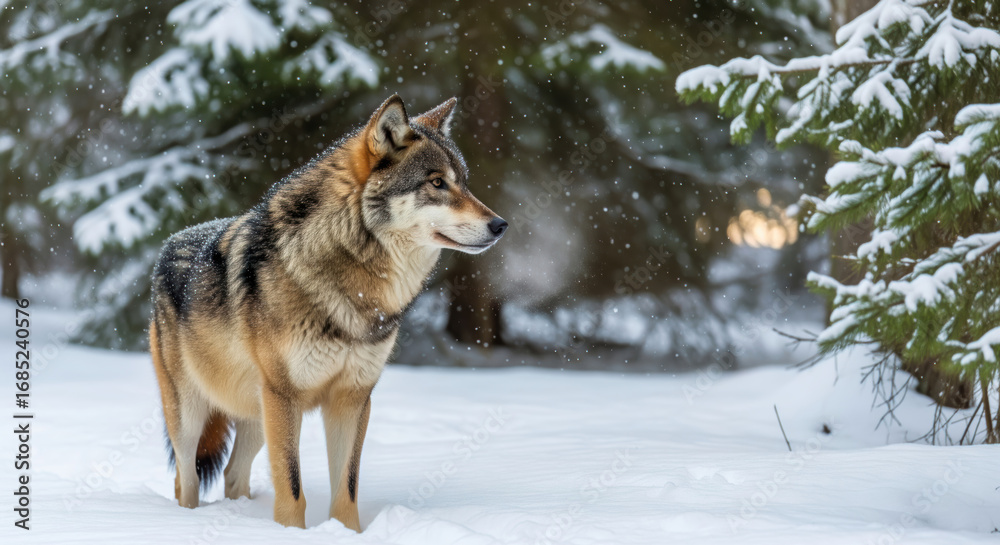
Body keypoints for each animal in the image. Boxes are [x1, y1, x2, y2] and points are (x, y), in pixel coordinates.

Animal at [149, 95, 507, 531]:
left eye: (464, 182)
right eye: (437, 183)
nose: (500, 225)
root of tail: (171, 242)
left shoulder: (353, 397)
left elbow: (347, 488)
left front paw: (348, 533)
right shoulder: (285, 396)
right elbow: (292, 489)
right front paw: (291, 534)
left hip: (257, 415)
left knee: (234, 474)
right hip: (192, 414)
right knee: (186, 482)